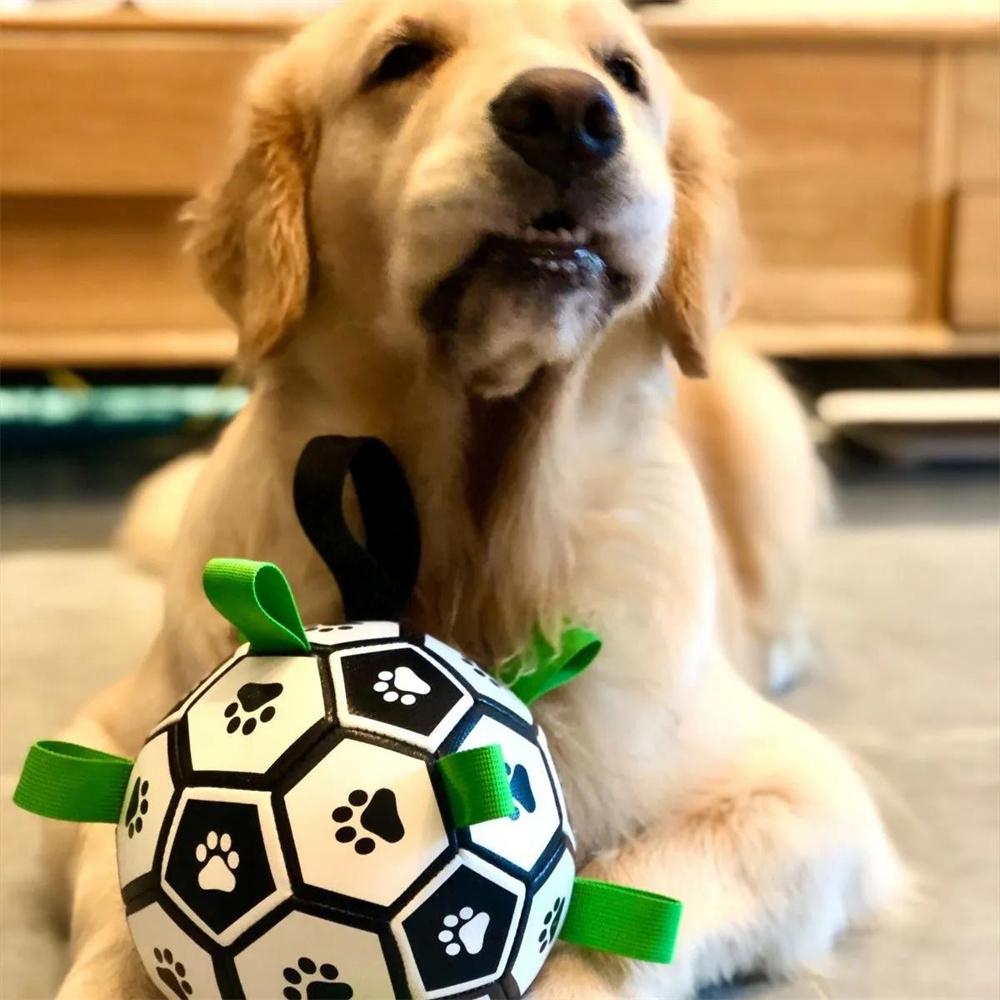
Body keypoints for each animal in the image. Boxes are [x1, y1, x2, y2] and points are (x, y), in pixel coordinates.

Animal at [50, 1, 904, 1000]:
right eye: (403, 57)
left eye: (624, 71)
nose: (570, 114)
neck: (471, 537)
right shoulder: (101, 740)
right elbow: (123, 906)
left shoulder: (804, 794)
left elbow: (616, 912)